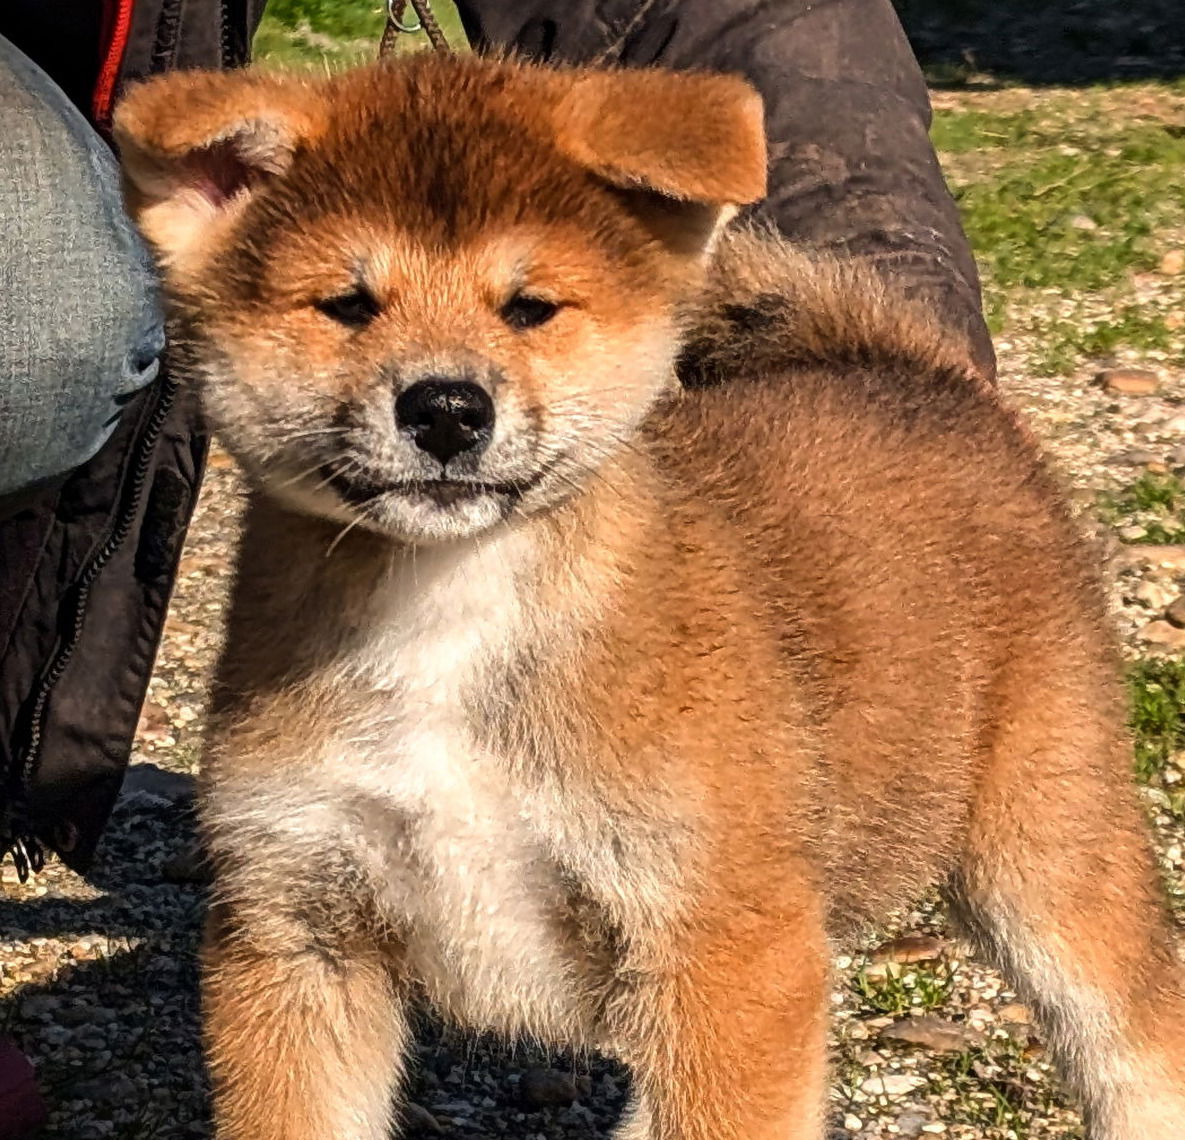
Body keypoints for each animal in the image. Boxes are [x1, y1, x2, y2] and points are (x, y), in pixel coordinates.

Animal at [113, 50, 1185, 1137]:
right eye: (347, 304)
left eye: (530, 306)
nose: (448, 408)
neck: (446, 616)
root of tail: (918, 372)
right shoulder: (293, 927)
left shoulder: (723, 944)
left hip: (1049, 850)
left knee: (1139, 1041)